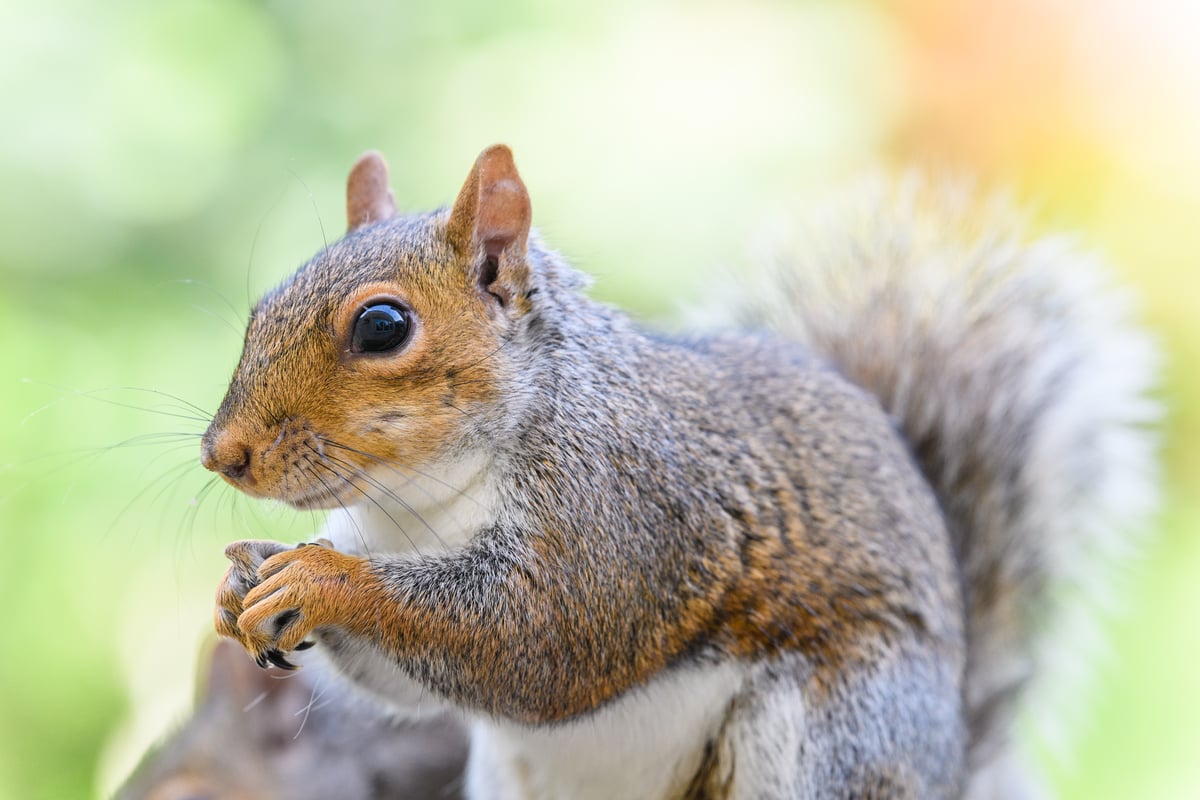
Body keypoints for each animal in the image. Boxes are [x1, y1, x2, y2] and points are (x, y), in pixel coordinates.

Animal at [199, 145, 1158, 799]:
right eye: (261, 308)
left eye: (383, 327)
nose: (222, 454)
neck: (425, 502)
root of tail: (954, 761)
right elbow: (407, 678)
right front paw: (243, 579)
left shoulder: (630, 512)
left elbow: (536, 639)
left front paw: (322, 579)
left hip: (832, 736)